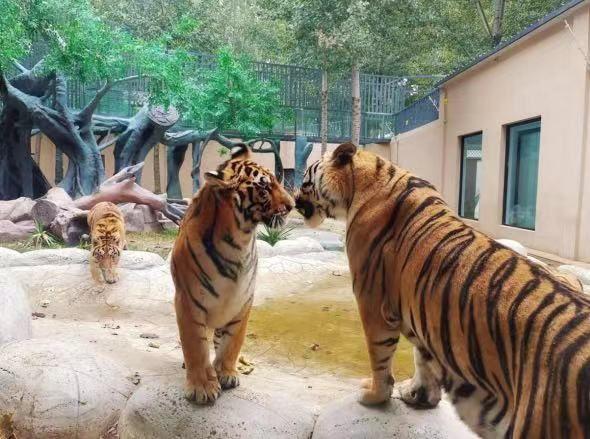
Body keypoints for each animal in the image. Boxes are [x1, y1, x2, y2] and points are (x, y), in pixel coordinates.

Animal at [171, 144, 294, 404]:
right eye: (264, 188)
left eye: (276, 180)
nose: (291, 205)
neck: (240, 241)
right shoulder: (188, 302)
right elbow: (195, 346)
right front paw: (202, 387)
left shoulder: (242, 301)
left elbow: (232, 342)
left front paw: (227, 373)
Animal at [295, 142, 590, 438]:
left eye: (306, 179)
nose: (294, 199)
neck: (369, 178)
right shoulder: (425, 314)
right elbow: (422, 357)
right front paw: (418, 395)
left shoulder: (373, 303)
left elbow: (379, 355)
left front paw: (374, 395)